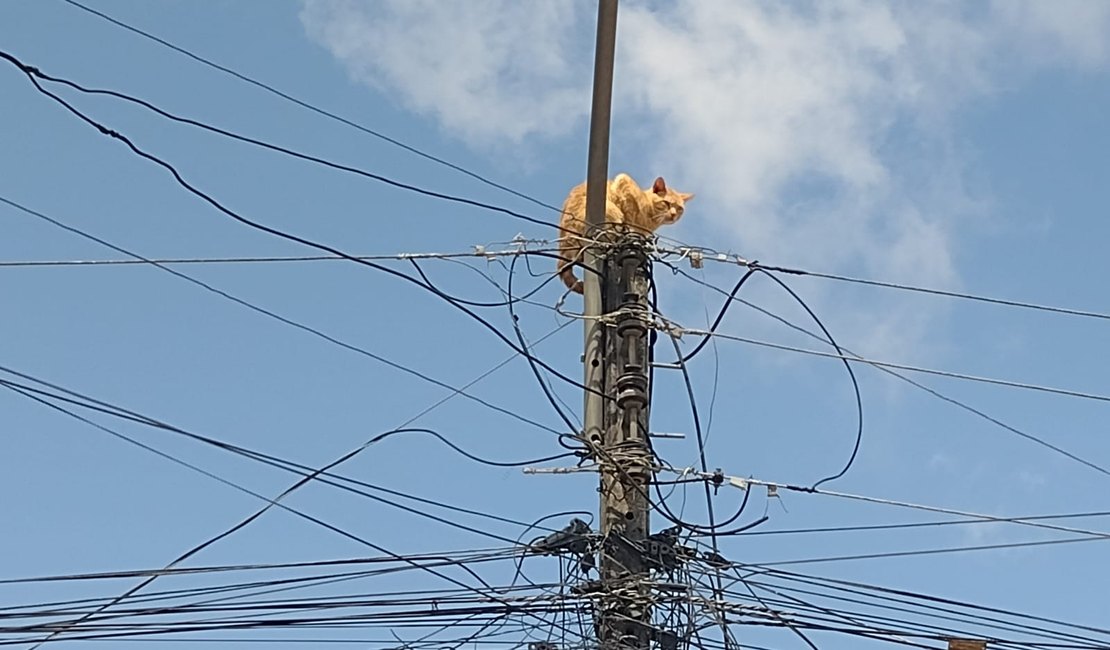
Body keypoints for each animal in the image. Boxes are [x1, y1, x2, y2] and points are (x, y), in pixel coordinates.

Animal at [555, 173, 692, 292]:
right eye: (666, 203)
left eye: (679, 209)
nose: (674, 214)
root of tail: (563, 246)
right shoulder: (624, 182)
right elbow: (628, 215)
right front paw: (630, 229)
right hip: (609, 212)